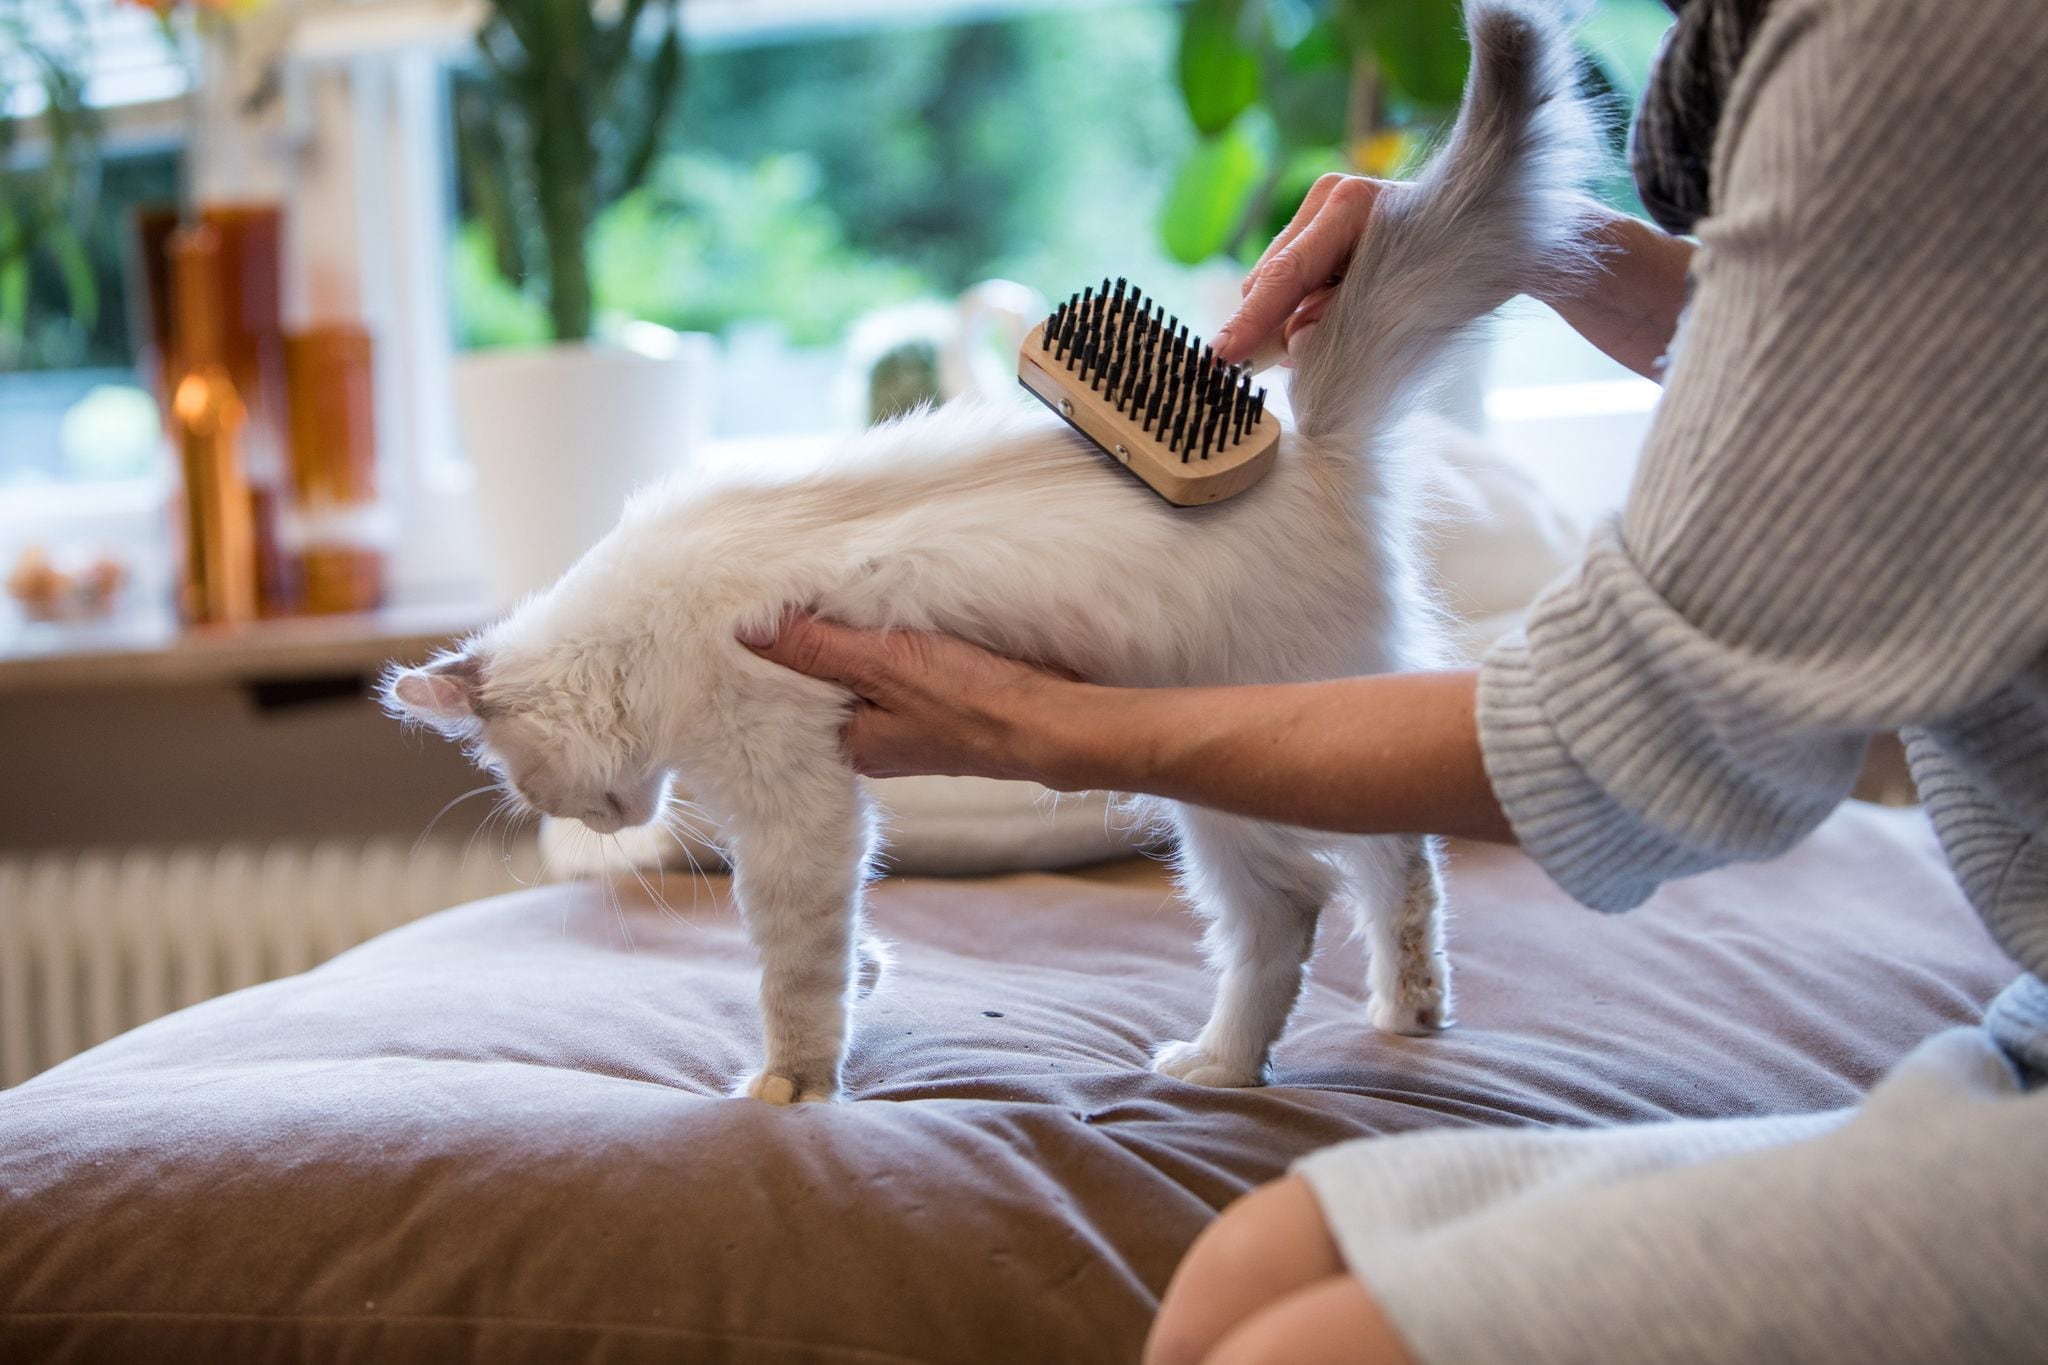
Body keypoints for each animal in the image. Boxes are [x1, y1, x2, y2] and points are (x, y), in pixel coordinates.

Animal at [391, 0, 1589, 1105]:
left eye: (536, 790)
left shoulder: (795, 806)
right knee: (1403, 861)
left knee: (1290, 912)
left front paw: (789, 1086)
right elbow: (845, 948)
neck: (646, 633)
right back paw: (1410, 1009)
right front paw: (869, 982)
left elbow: (793, 970)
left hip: (1230, 785)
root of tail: (1309, 451)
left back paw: (1218, 1063)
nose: (605, 822)